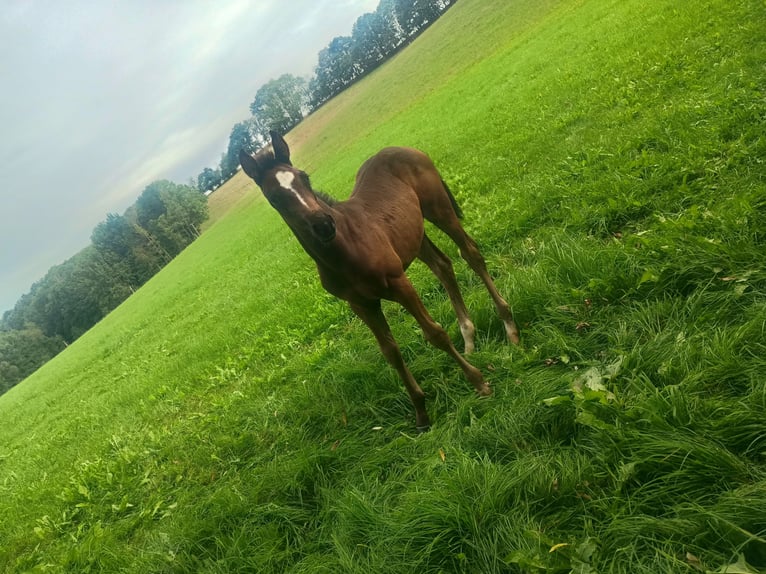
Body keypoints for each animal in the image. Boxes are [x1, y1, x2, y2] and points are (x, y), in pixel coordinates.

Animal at [239, 131, 519, 431]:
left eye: (304, 178)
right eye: (274, 198)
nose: (323, 224)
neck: (346, 248)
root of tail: (404, 148)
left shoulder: (399, 282)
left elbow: (435, 333)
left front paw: (479, 383)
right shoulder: (361, 304)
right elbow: (390, 353)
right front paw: (421, 414)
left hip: (439, 209)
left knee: (470, 253)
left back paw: (509, 328)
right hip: (413, 235)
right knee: (443, 265)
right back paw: (468, 339)